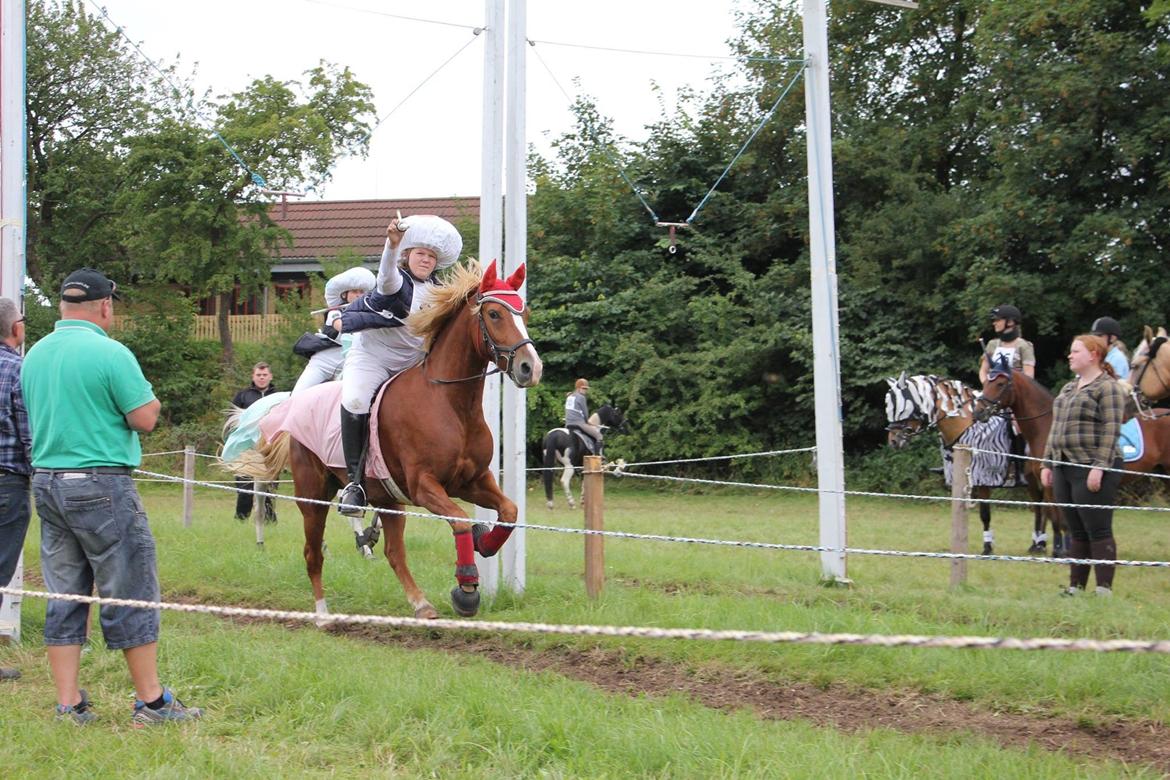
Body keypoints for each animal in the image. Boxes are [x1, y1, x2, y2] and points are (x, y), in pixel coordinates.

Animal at [228, 261, 542, 622]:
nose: (531, 368)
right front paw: (466, 588)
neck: (450, 403)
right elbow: (461, 521)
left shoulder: (472, 481)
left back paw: (420, 603)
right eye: (493, 314)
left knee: (394, 552)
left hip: (389, 500)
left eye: (524, 312)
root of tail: (296, 403)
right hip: (313, 497)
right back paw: (322, 612)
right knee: (312, 551)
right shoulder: (425, 486)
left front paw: (484, 543)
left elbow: (509, 511)